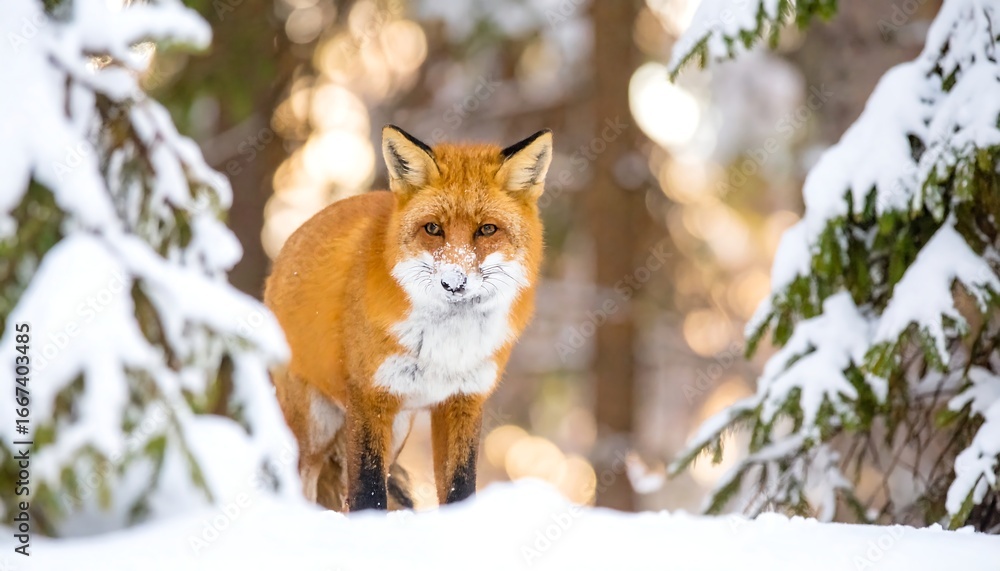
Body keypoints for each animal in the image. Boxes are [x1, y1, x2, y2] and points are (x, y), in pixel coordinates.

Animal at [264, 125, 552, 511]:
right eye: (433, 229)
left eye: (487, 230)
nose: (453, 282)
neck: (446, 345)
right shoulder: (370, 398)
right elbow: (369, 493)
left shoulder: (462, 401)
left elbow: (460, 489)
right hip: (315, 428)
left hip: (396, 429)